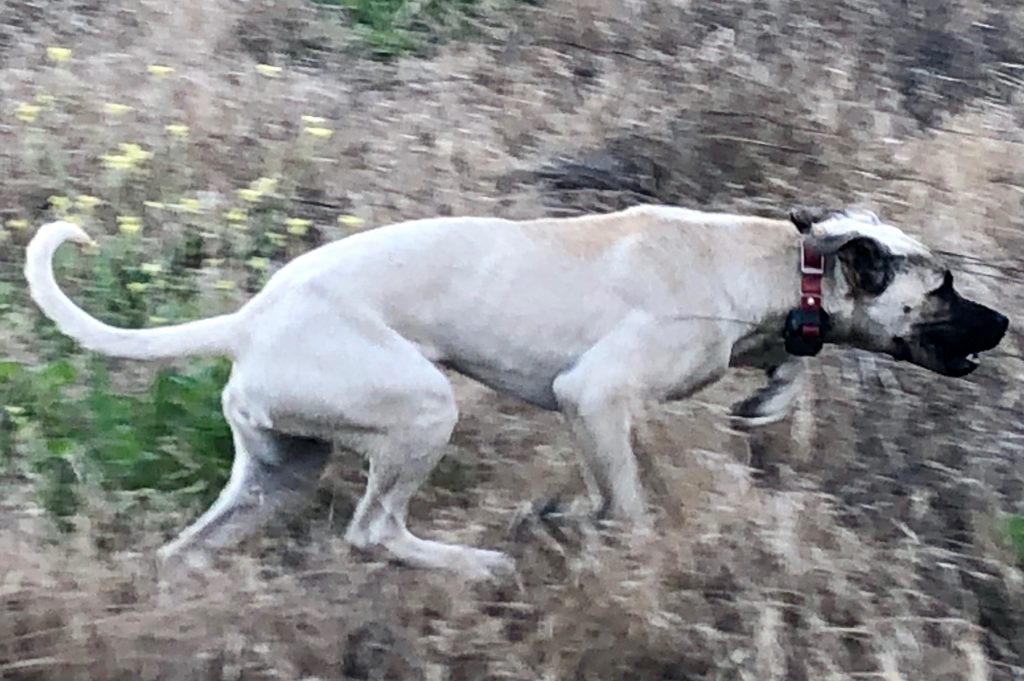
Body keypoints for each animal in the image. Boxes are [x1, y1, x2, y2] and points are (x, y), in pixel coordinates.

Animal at [24, 202, 1007, 577]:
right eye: (946, 286)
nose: (1003, 324)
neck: (778, 261)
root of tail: (247, 319)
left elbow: (791, 370)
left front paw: (767, 399)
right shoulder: (593, 398)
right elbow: (625, 505)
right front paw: (582, 528)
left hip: (279, 469)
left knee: (186, 551)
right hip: (424, 410)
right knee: (373, 530)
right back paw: (478, 564)